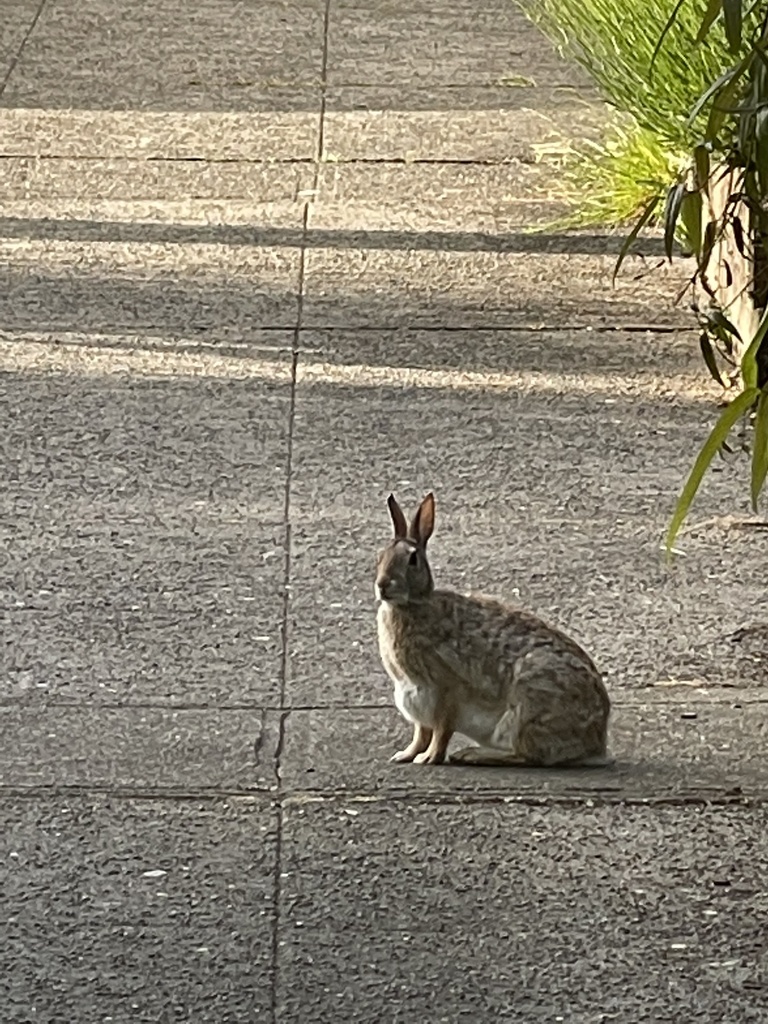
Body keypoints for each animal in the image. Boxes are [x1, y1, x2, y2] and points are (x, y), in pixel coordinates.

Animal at [374, 491, 614, 765]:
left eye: (412, 560)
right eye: (380, 557)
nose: (382, 585)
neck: (411, 605)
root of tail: (594, 742)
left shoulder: (446, 689)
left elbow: (441, 730)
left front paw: (429, 758)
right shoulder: (415, 695)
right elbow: (421, 733)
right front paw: (405, 755)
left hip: (528, 704)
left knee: (527, 755)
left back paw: (472, 754)